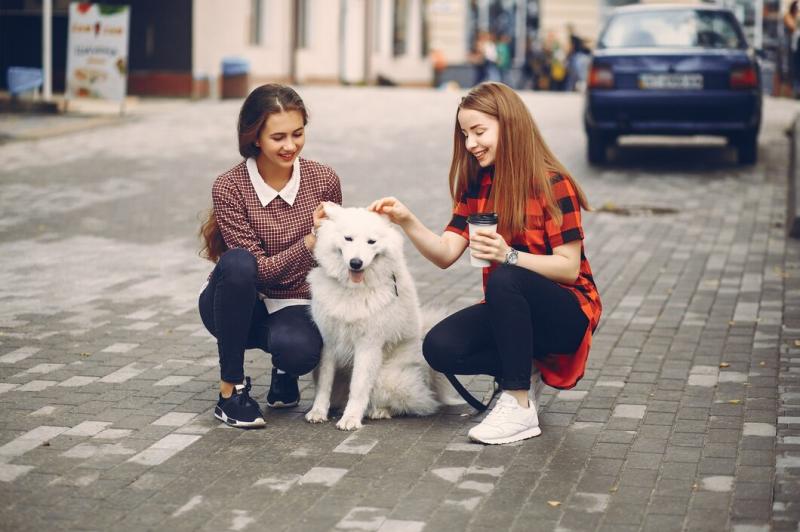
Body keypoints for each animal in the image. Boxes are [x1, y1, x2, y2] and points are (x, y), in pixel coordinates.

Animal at [304, 204, 460, 432]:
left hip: (388, 377)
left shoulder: (368, 345)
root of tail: (430, 377)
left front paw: (351, 418)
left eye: (371, 242)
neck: (353, 289)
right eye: (348, 238)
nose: (356, 263)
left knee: (414, 402)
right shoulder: (329, 341)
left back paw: (379, 411)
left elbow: (359, 386)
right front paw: (318, 412)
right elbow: (324, 382)